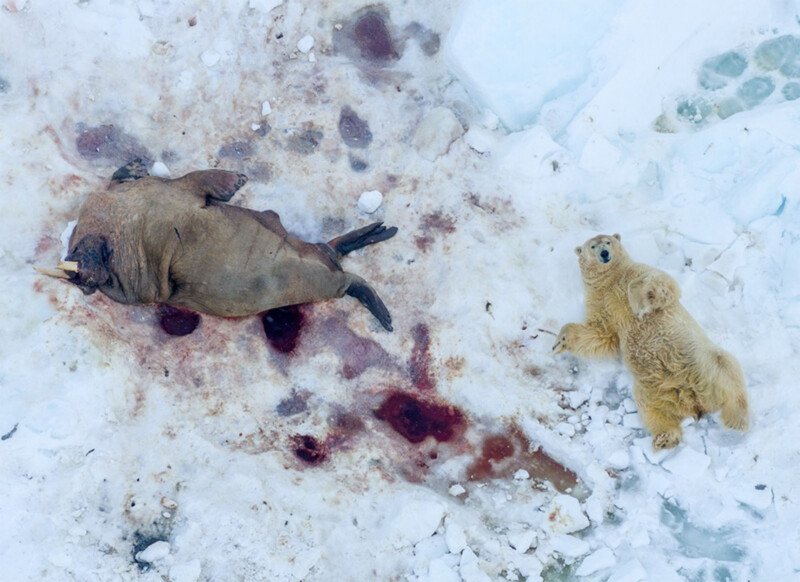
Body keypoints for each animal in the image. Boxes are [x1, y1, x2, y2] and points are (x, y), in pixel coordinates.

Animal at [552, 233, 749, 449]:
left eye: (608, 242)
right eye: (592, 246)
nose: (604, 254)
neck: (610, 279)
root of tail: (695, 400)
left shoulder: (638, 271)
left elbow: (661, 284)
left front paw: (638, 303)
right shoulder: (600, 302)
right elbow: (601, 333)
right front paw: (559, 342)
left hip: (700, 360)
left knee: (725, 369)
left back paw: (736, 421)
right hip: (653, 390)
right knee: (653, 411)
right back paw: (665, 438)